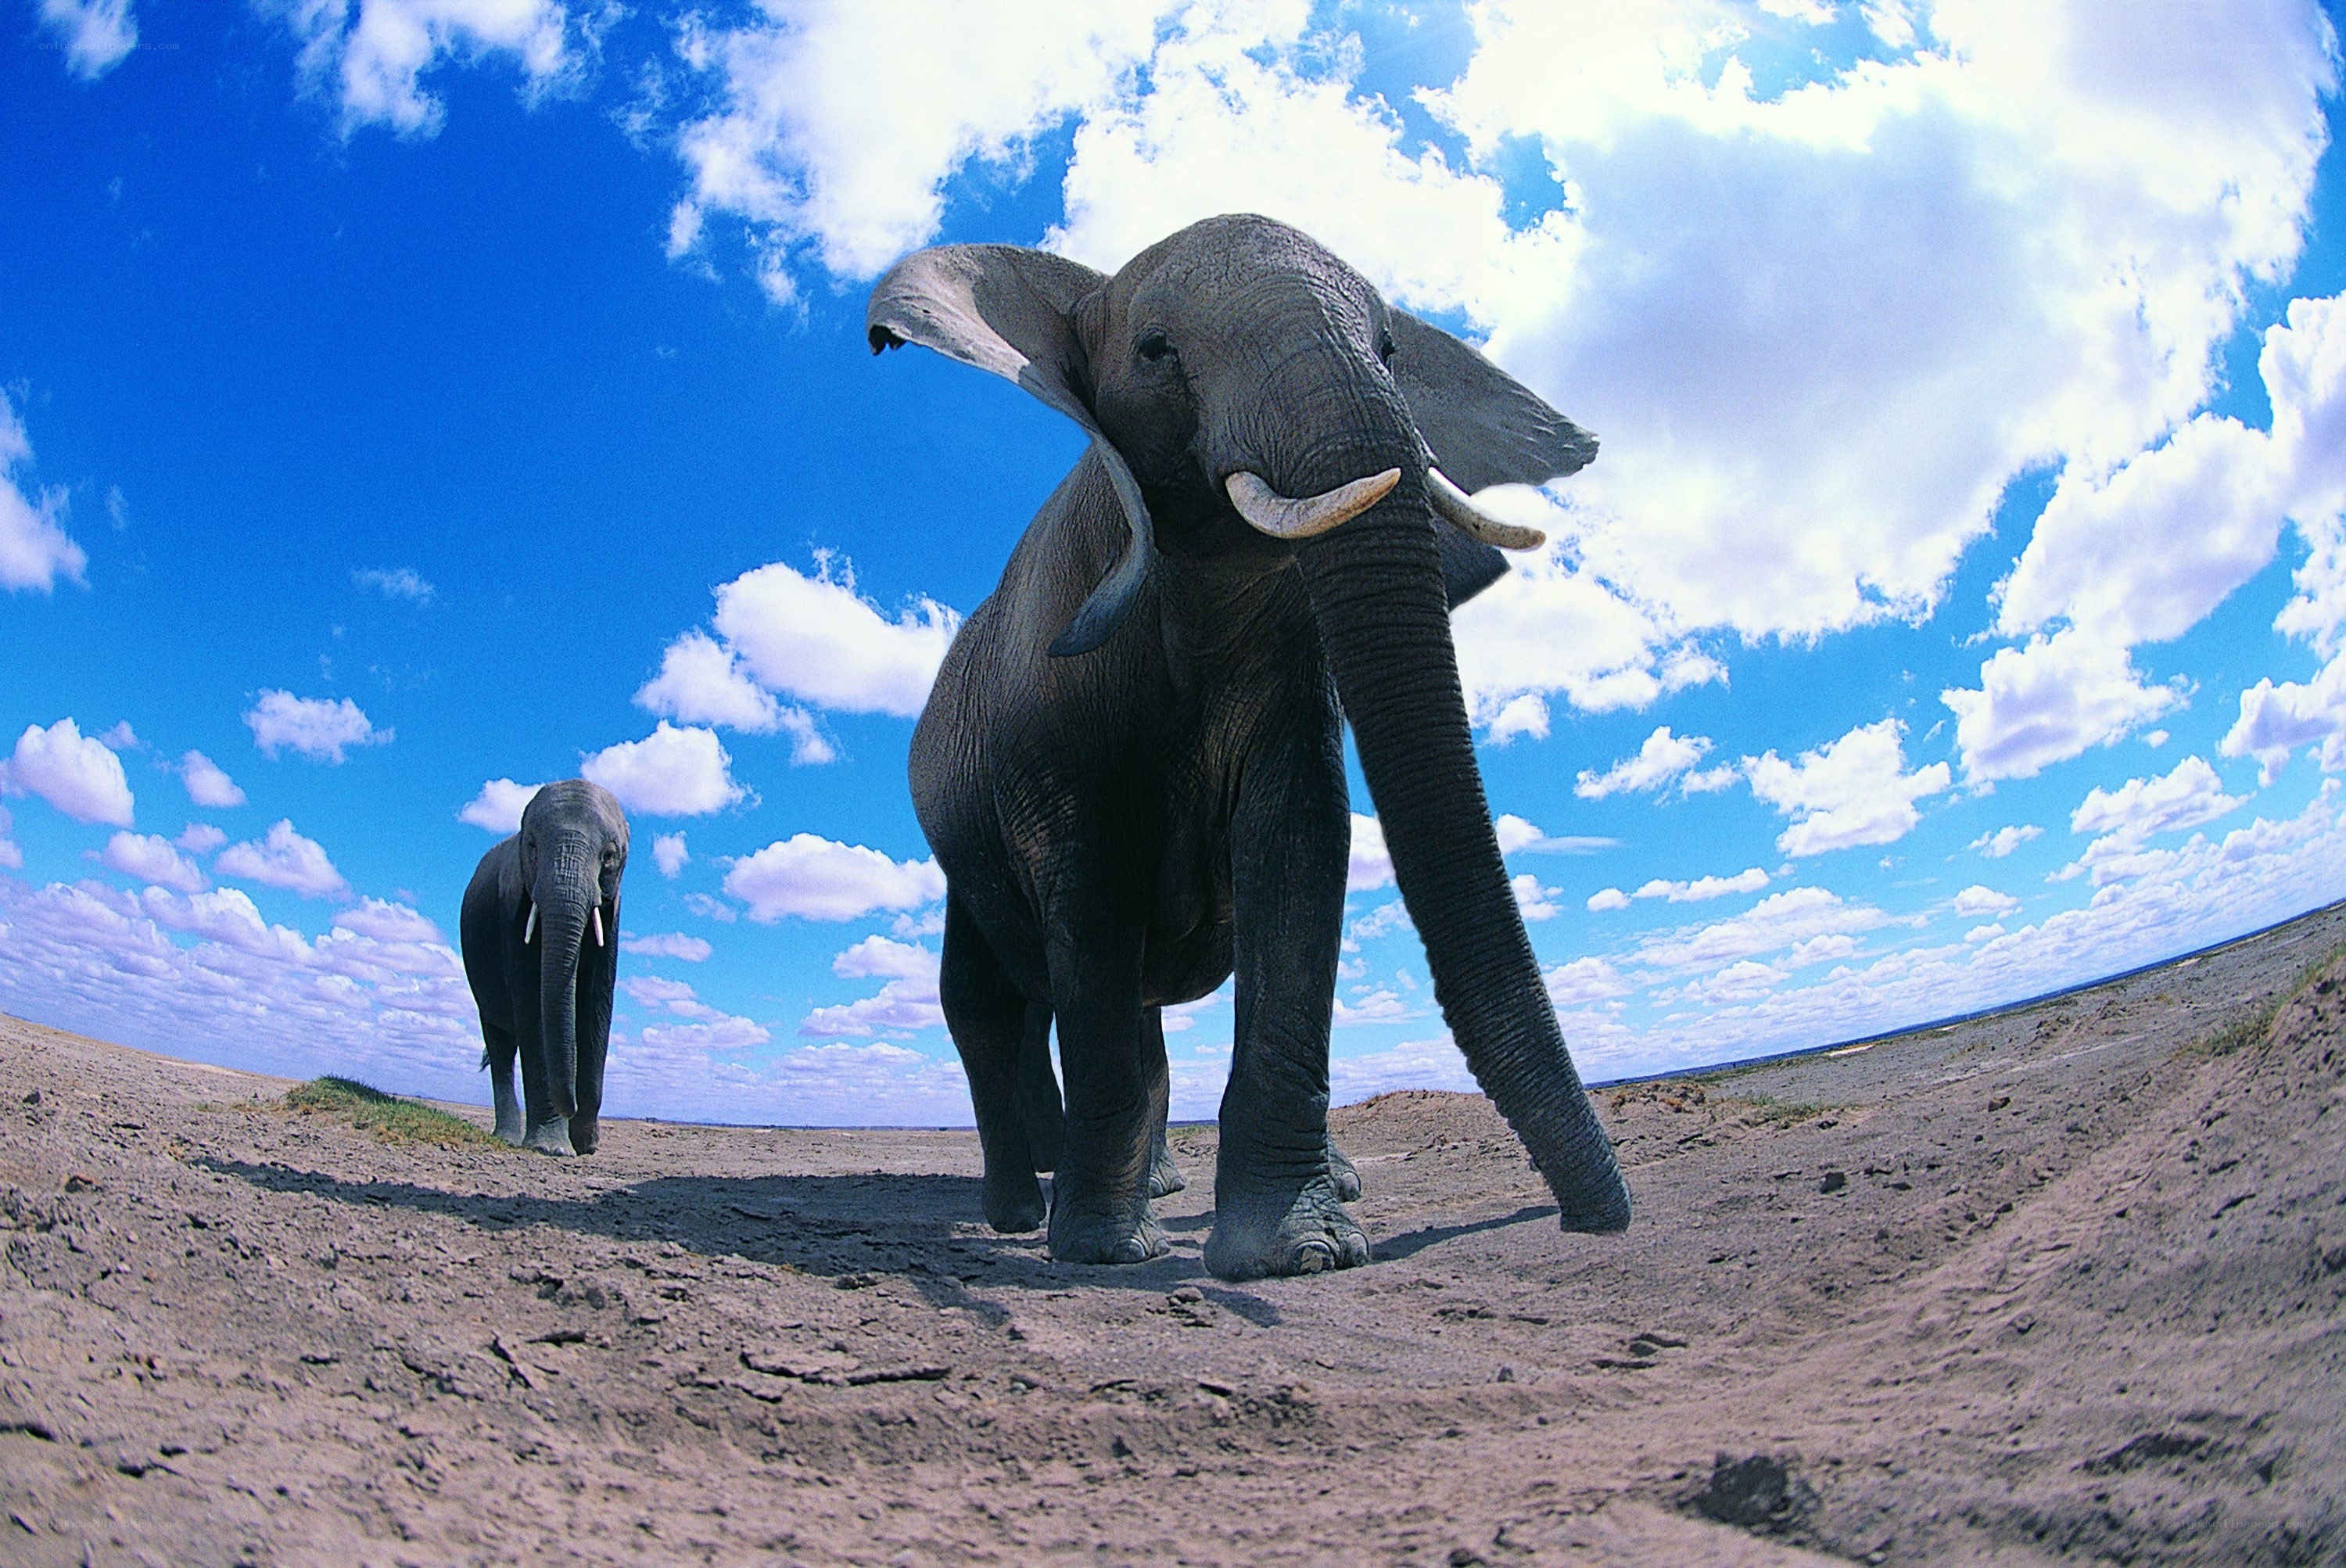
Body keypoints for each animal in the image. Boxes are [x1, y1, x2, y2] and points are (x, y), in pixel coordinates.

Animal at [459, 779, 628, 1156]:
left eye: (609, 857)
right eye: (533, 846)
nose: (572, 1106)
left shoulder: (612, 914)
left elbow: (597, 1007)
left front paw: (586, 1146)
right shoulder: (512, 907)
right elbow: (533, 1006)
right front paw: (552, 1148)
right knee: (500, 1045)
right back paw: (507, 1137)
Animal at [867, 213, 1631, 1279]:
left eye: (1390, 349)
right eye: (1157, 351)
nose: (1593, 1220)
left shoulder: (1291, 682)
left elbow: (1300, 854)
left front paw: (1296, 1252)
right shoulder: (1054, 732)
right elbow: (1092, 911)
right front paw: (1106, 1254)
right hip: (960, 844)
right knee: (985, 1003)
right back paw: (1022, 1218)